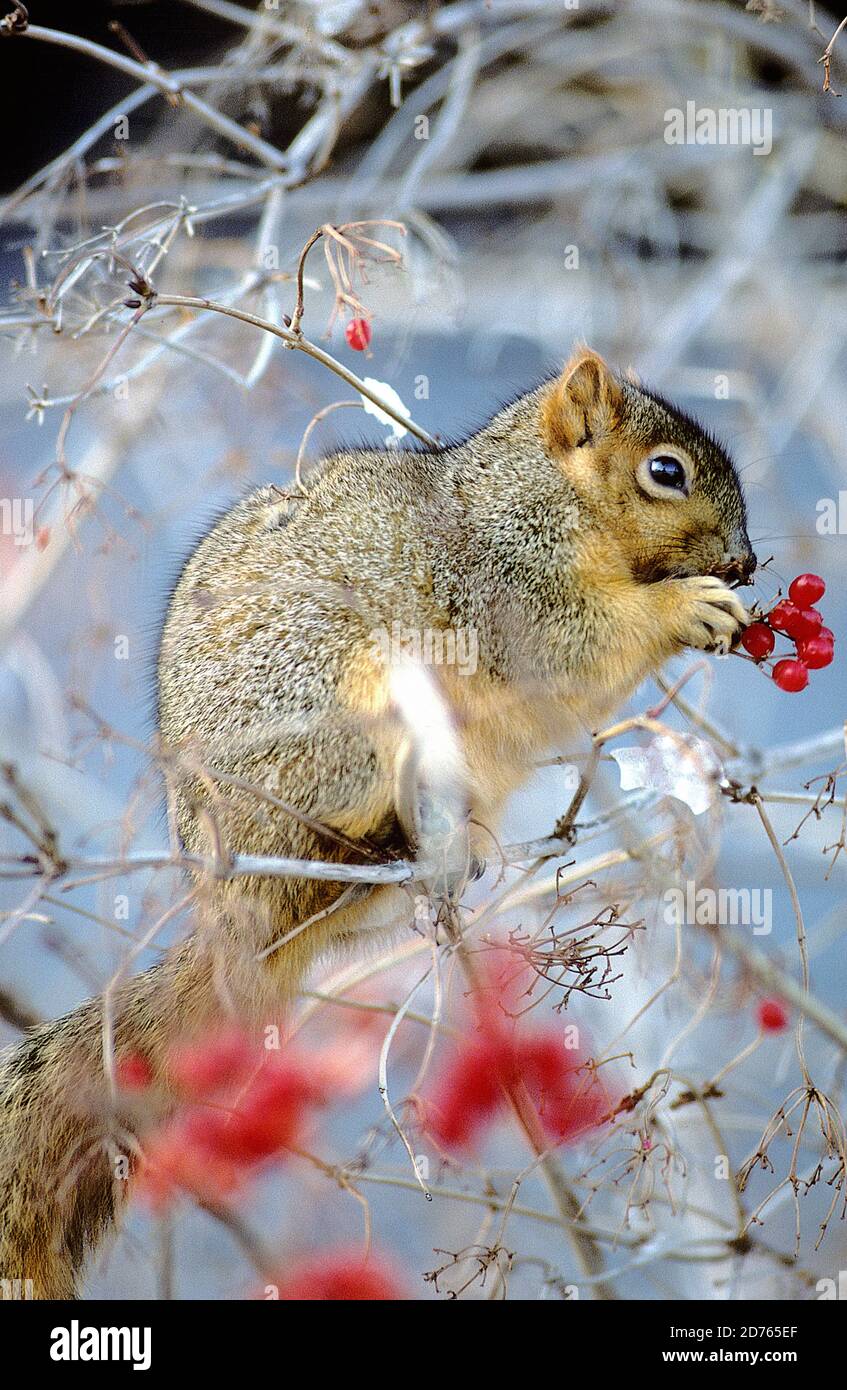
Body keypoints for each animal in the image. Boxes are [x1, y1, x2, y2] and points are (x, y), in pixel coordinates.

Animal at [0, 348, 755, 1298]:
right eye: (666, 472)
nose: (747, 561)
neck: (538, 499)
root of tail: (226, 901)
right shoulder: (507, 593)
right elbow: (573, 644)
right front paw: (684, 609)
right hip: (339, 721)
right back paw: (388, 846)